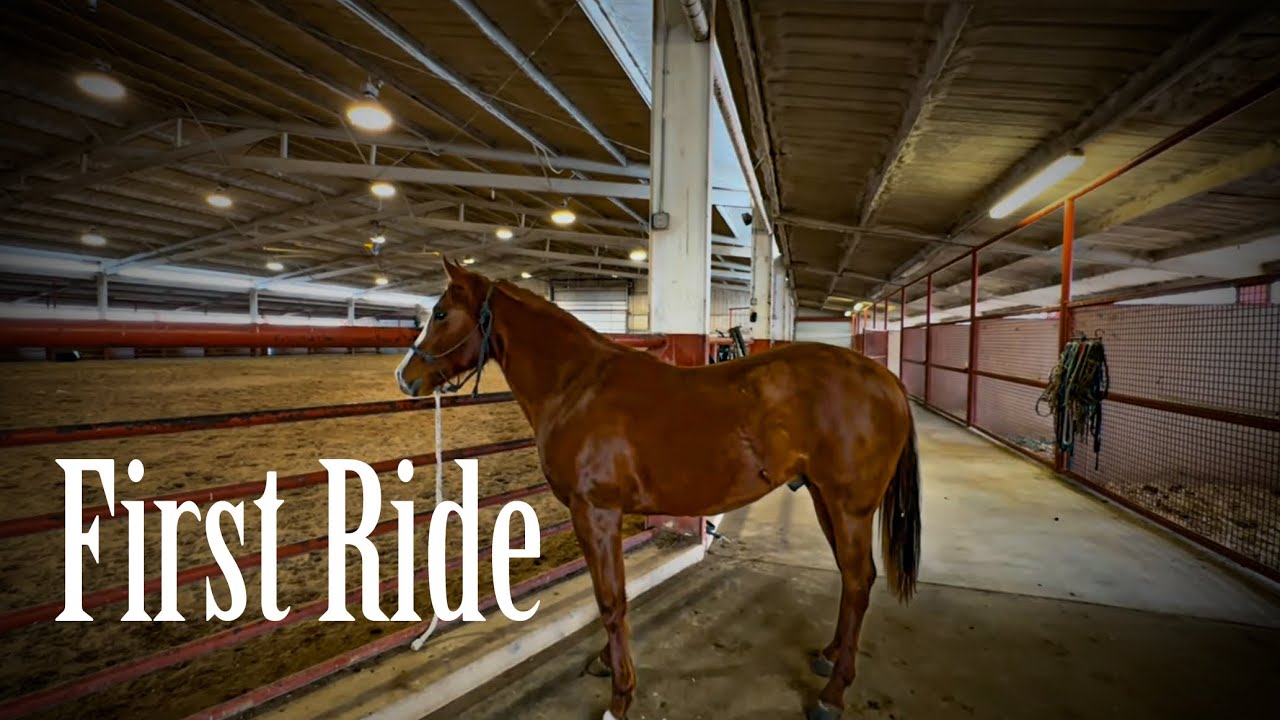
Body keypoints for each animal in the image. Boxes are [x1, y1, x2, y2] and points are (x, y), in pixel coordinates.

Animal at [395, 258, 921, 720]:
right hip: (823, 499)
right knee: (852, 580)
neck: (576, 387)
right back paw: (829, 655)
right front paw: (608, 665)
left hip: (849, 508)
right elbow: (612, 597)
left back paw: (832, 694)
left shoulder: (596, 513)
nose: (405, 376)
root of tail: (886, 380)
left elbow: (611, 601)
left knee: (859, 580)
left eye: (440, 313)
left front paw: (620, 697)